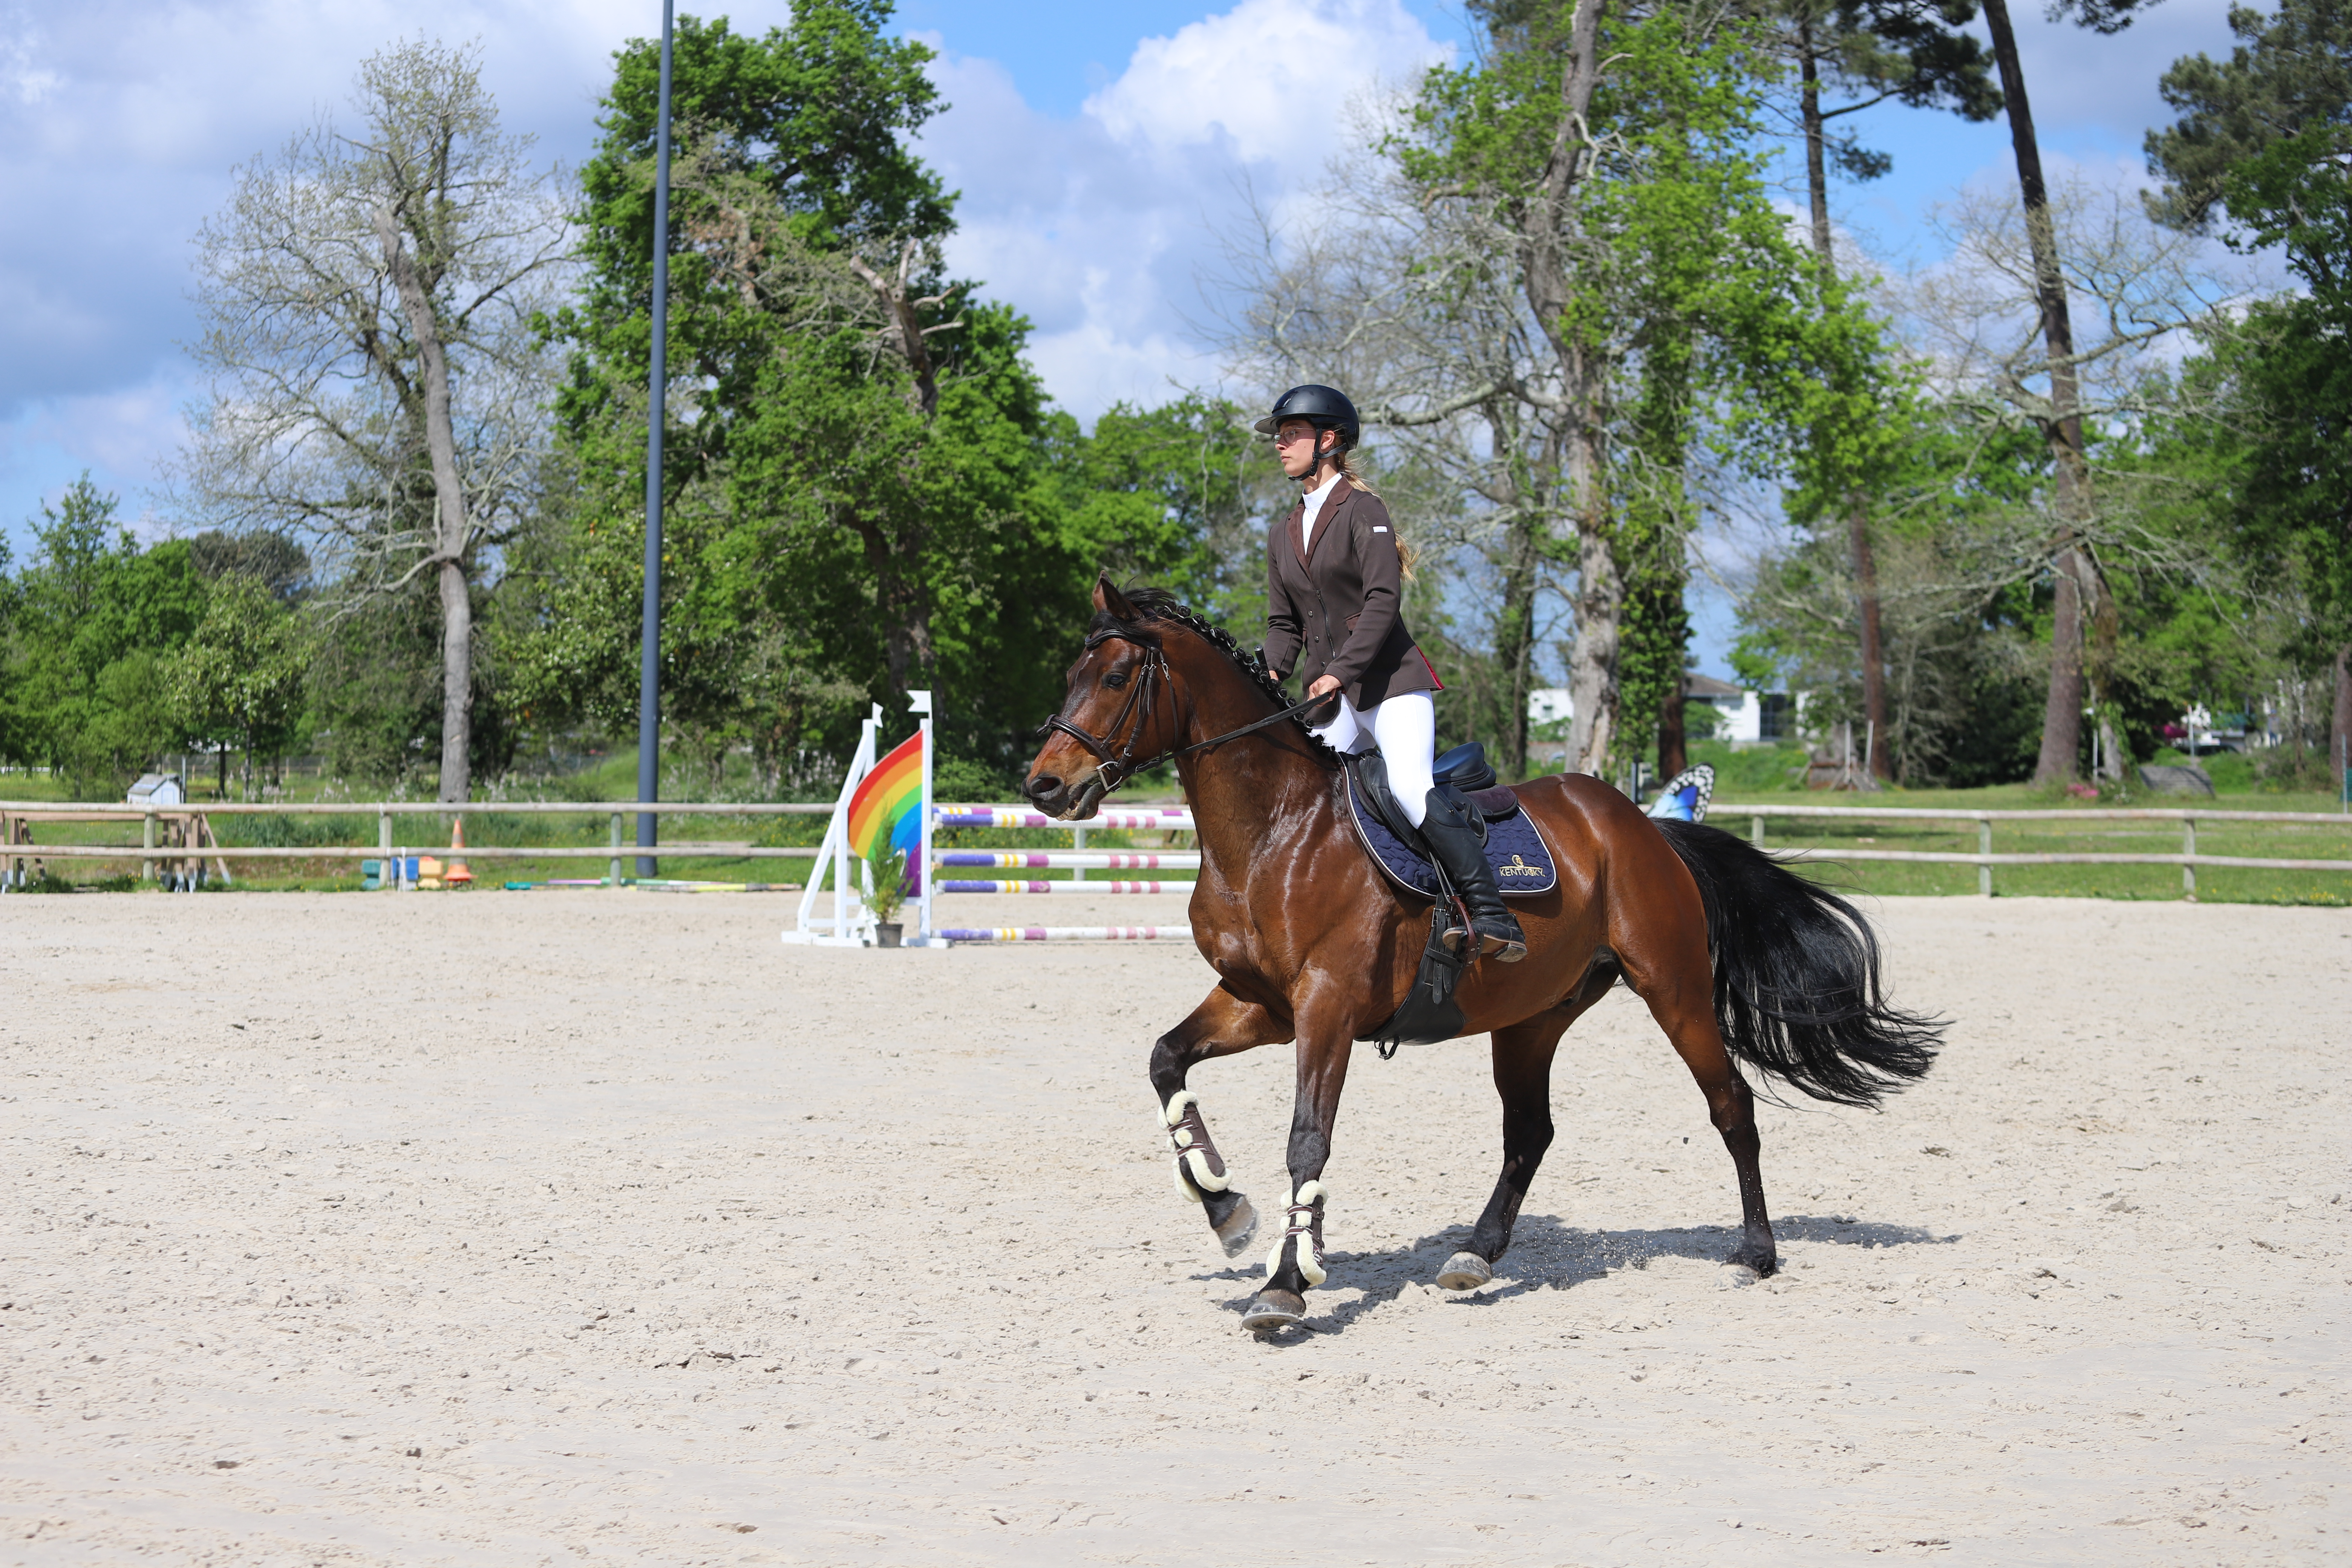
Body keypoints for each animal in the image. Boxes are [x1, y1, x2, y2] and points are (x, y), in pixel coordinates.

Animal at [1022, 579, 1944, 1333]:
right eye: (1068, 673)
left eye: (1115, 678)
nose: (1043, 786)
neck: (1274, 830)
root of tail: (1645, 825)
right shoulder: (1260, 1003)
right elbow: (1166, 1063)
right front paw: (1226, 1210)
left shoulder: (1326, 1006)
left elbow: (1308, 1142)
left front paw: (1285, 1286)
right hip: (1532, 1017)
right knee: (1530, 1131)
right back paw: (1477, 1253)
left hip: (1674, 989)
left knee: (1730, 1106)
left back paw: (1756, 1252)